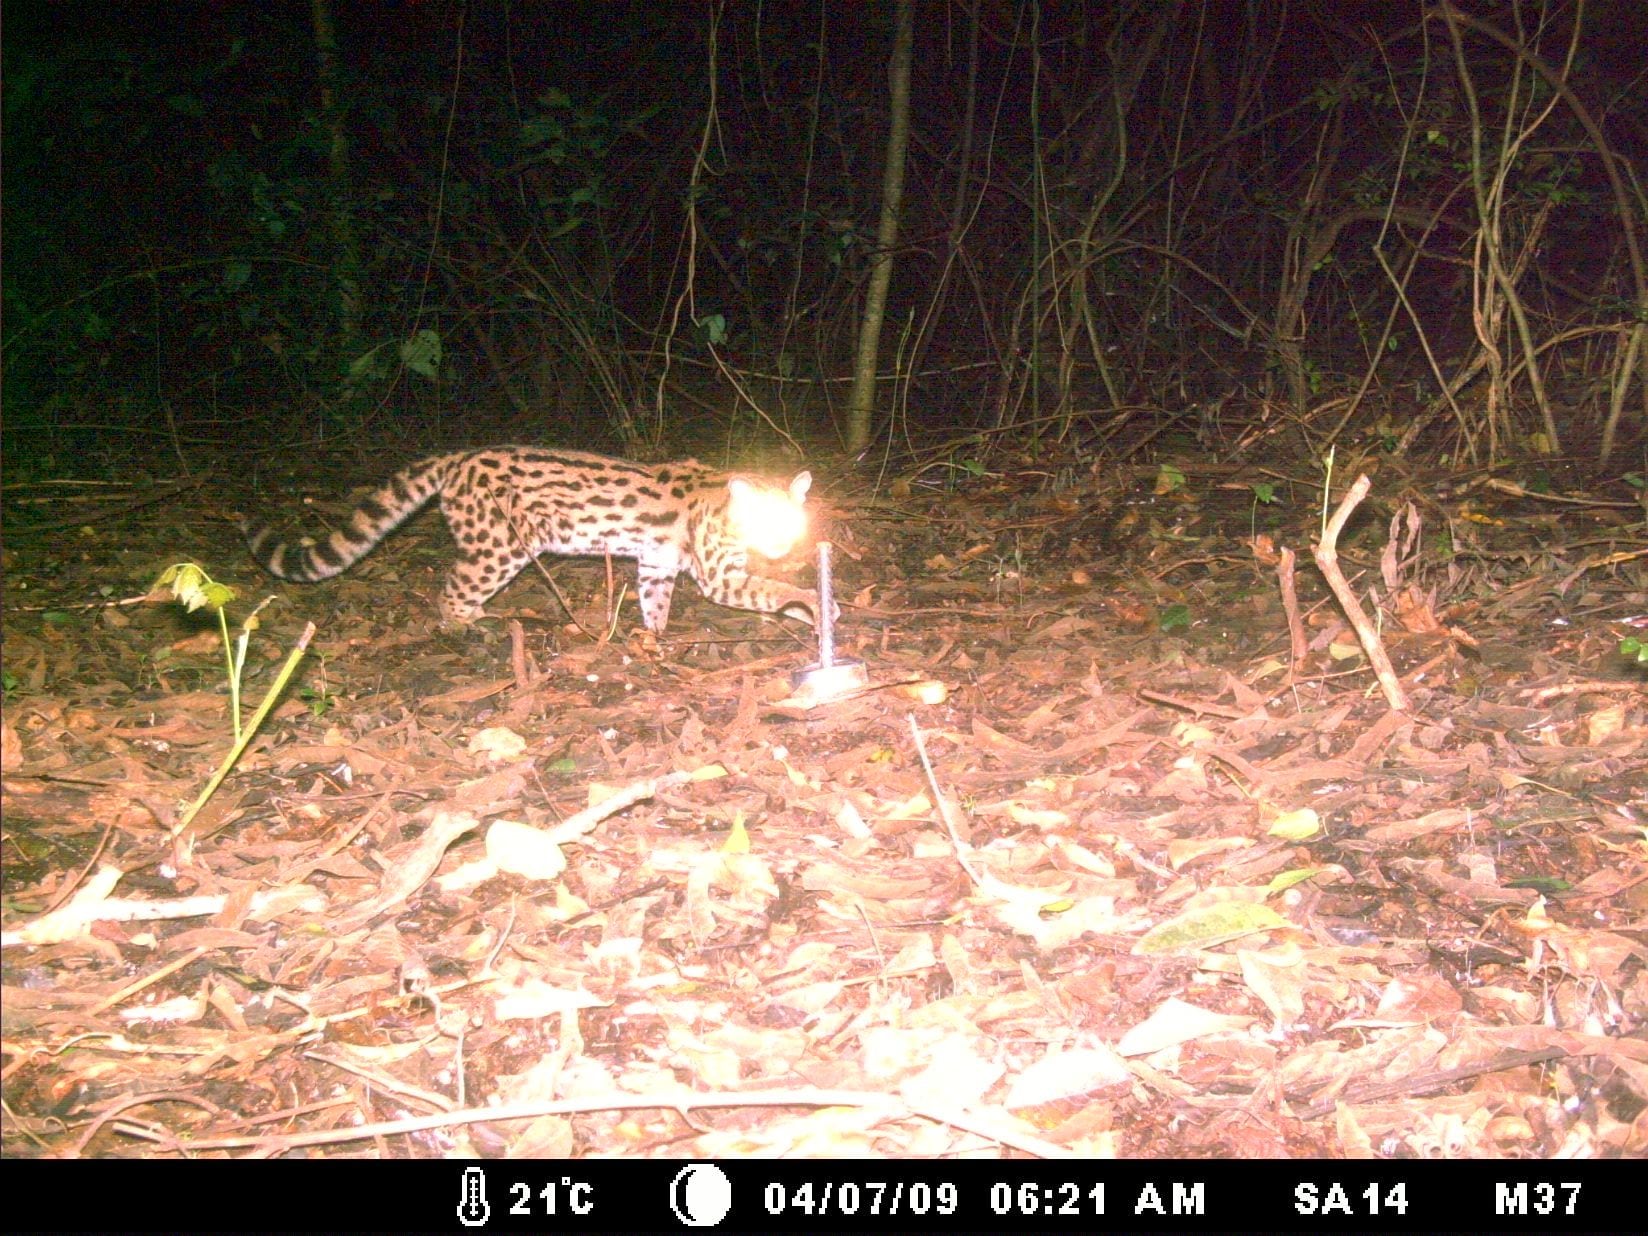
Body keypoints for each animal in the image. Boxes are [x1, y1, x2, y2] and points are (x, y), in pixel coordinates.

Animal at [242, 448, 824, 632]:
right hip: (499, 547)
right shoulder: (720, 575)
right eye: (762, 525)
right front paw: (813, 603)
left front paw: (654, 638)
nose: (781, 549)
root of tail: (455, 459)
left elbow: (653, 600)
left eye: (792, 526)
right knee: (451, 586)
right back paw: (465, 624)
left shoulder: (656, 562)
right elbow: (769, 590)